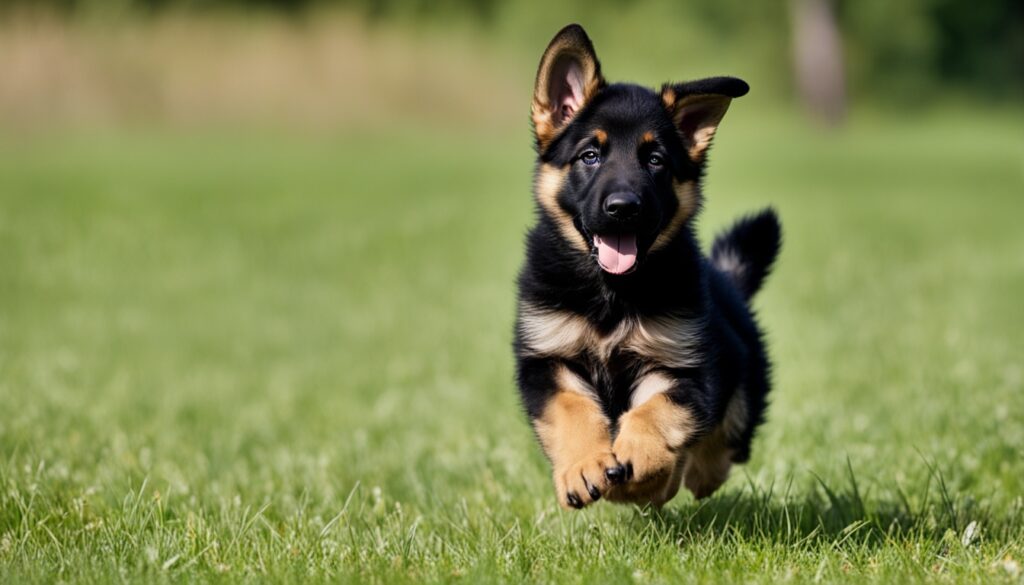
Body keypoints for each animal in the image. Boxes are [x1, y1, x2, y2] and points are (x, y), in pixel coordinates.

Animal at [516, 24, 778, 508]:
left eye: (655, 160)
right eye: (590, 155)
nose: (623, 208)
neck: (611, 291)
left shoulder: (685, 364)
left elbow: (657, 410)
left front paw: (637, 457)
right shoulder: (547, 358)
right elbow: (571, 408)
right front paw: (584, 466)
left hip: (742, 370)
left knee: (725, 437)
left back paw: (685, 475)